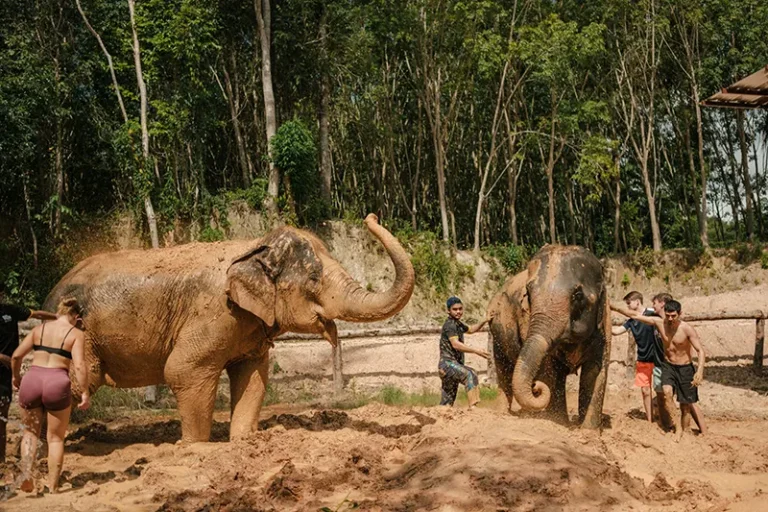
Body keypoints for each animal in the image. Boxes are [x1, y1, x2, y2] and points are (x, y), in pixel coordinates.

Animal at [43, 214, 414, 442]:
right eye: (313, 279)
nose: (371, 216)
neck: (253, 246)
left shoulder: (248, 326)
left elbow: (253, 376)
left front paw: (244, 441)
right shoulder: (214, 313)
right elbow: (183, 369)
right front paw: (192, 446)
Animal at [487, 244, 611, 428]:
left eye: (578, 295)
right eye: (528, 293)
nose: (535, 386)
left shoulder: (604, 325)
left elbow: (595, 372)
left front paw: (589, 430)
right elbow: (550, 370)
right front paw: (557, 422)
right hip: (497, 333)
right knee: (504, 369)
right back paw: (504, 413)